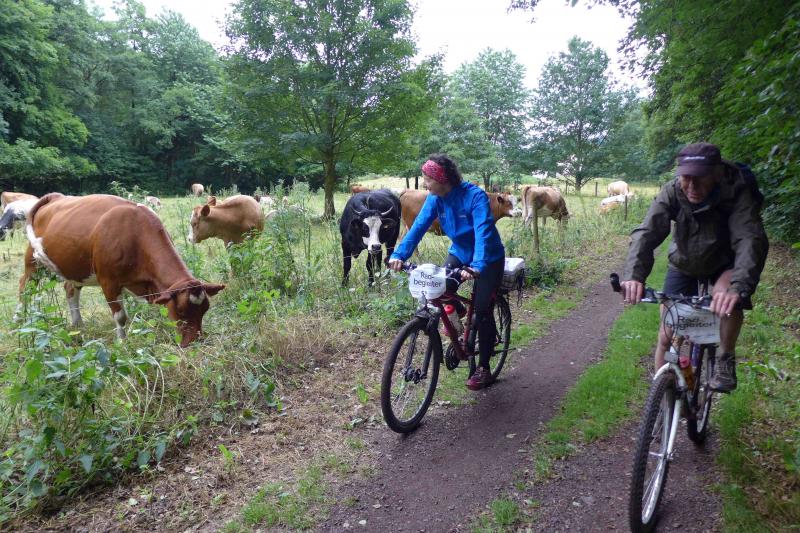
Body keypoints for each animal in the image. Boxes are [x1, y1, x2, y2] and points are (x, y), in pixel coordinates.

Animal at [20, 193, 224, 346]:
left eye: (205, 309)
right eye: (181, 311)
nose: (194, 343)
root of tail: (55, 196)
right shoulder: (108, 282)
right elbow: (120, 317)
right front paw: (122, 343)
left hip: (74, 266)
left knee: (70, 289)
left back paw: (78, 325)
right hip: (32, 260)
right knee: (24, 286)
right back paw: (19, 320)